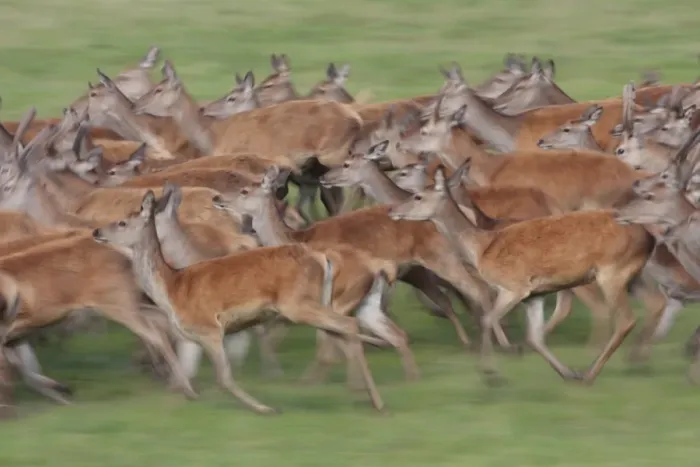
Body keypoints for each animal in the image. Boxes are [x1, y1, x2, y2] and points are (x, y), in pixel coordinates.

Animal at [92, 190, 386, 413]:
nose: (96, 231)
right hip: (315, 303)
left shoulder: (209, 327)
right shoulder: (192, 335)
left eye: (122, 222)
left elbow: (224, 378)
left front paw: (266, 408)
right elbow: (188, 369)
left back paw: (376, 401)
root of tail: (322, 258)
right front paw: (187, 396)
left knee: (347, 325)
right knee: (341, 334)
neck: (171, 289)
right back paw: (365, 393)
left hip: (297, 303)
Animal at [389, 166, 660, 384]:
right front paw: (567, 373)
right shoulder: (534, 295)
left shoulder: (514, 286)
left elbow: (488, 319)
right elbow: (534, 338)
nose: (392, 210)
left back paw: (592, 372)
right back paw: (620, 362)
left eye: (417, 196)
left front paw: (491, 374)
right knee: (651, 303)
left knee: (626, 319)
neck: (482, 248)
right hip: (631, 274)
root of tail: (649, 238)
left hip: (611, 272)